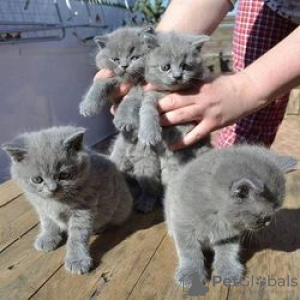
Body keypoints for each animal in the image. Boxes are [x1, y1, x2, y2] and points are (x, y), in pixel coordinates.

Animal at [1, 126, 132, 274]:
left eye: (64, 175)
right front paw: (48, 238)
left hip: (121, 206)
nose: (52, 188)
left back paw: (100, 228)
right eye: (37, 179)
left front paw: (77, 260)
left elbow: (77, 235)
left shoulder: (84, 208)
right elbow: (47, 222)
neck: (54, 202)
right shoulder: (41, 206)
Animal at [164, 145, 298, 286]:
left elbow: (228, 251)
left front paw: (229, 270)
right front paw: (191, 273)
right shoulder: (183, 225)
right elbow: (189, 252)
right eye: (262, 217)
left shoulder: (229, 235)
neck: (217, 218)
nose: (268, 222)